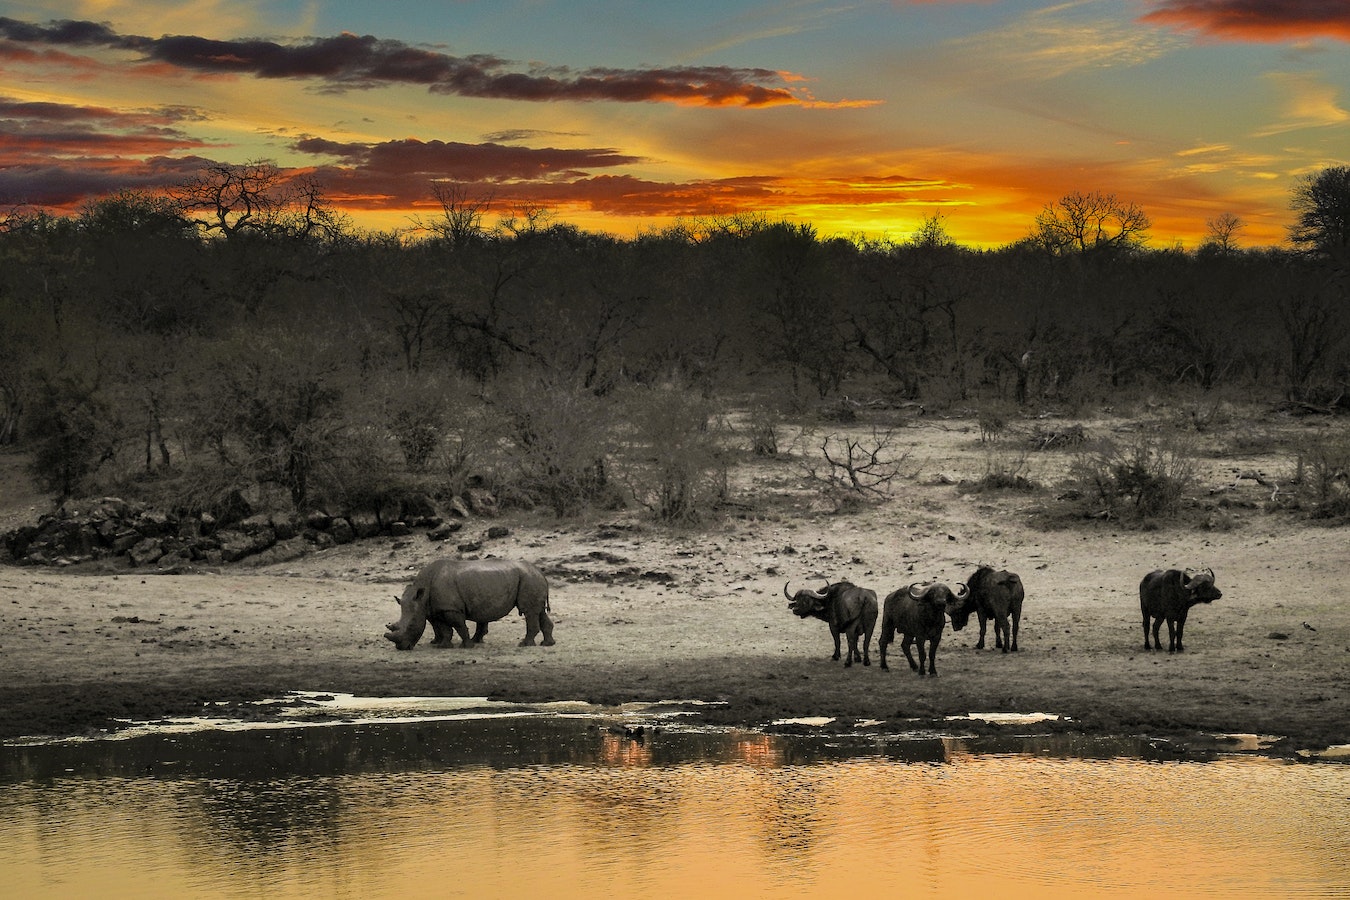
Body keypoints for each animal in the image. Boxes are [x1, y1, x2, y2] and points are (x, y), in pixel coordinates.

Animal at [388, 558, 556, 650]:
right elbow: (443, 628)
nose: (402, 648)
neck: (422, 593)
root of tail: (540, 572)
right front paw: (443, 646)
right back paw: (547, 644)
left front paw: (467, 646)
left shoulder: (451, 609)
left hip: (529, 579)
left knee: (529, 611)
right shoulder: (437, 609)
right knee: (538, 611)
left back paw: (525, 644)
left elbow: (459, 626)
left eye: (411, 625)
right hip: (530, 578)